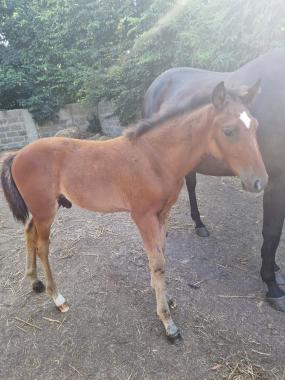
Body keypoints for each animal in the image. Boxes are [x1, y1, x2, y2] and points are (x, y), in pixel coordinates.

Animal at [1, 81, 266, 342]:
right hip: (46, 211)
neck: (155, 158)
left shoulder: (163, 214)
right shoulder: (143, 216)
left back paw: (34, 281)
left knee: (29, 232)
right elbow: (157, 261)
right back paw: (57, 298)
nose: (260, 181)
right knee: (42, 247)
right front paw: (167, 322)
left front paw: (165, 296)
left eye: (255, 125)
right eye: (228, 130)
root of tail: (17, 154)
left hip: (40, 209)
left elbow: (161, 253)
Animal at [143, 47, 284, 314]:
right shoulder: (276, 181)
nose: (256, 180)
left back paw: (199, 224)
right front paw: (273, 286)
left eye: (256, 126)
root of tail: (156, 82)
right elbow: (272, 233)